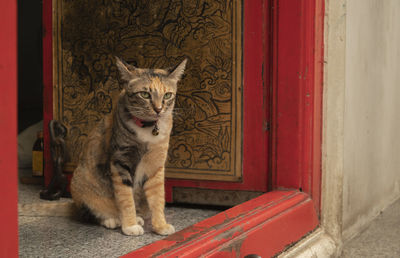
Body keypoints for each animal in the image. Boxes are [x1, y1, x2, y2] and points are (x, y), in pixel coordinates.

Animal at [18, 57, 187, 236]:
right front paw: (130, 226)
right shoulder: (120, 161)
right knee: (92, 214)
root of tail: (74, 204)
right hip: (80, 184)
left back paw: (138, 217)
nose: (158, 109)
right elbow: (125, 197)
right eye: (145, 94)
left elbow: (158, 197)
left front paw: (161, 226)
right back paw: (114, 219)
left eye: (167, 95)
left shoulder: (156, 164)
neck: (147, 130)